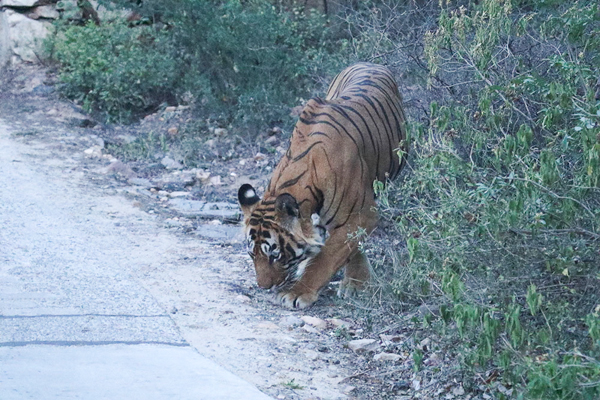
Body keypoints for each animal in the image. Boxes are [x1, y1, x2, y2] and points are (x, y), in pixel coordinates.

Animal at [238, 62, 408, 310]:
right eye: (252, 254)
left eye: (275, 255)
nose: (263, 286)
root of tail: (368, 62)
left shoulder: (360, 214)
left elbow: (327, 257)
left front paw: (296, 293)